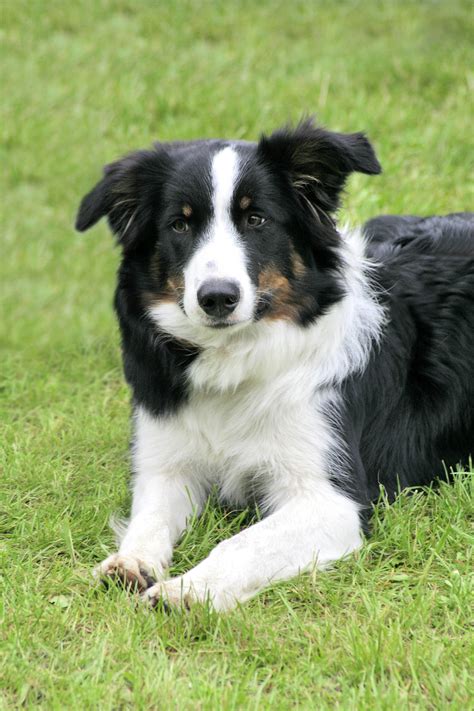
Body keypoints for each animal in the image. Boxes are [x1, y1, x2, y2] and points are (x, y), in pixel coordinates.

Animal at [75, 119, 474, 608]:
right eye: (179, 224)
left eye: (256, 219)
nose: (217, 298)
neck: (235, 359)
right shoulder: (165, 462)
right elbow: (147, 518)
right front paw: (131, 562)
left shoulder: (332, 499)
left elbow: (240, 544)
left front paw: (187, 590)